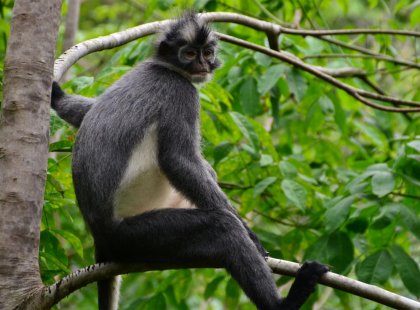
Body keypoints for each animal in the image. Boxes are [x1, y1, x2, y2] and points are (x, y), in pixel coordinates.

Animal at [50, 12, 328, 310]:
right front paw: (250, 235)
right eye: (190, 54)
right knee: (222, 228)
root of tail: (100, 238)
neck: (165, 69)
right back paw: (284, 302)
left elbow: (88, 112)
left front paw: (57, 96)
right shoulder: (180, 93)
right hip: (136, 236)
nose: (203, 65)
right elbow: (178, 161)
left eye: (207, 53)